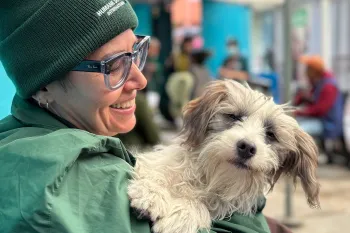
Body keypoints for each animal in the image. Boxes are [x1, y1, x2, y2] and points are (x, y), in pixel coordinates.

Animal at [129, 79, 320, 233]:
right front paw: (152, 194)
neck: (211, 179)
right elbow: (157, 170)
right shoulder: (158, 162)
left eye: (271, 134)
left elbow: (198, 205)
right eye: (234, 117)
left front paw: (183, 217)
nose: (247, 147)